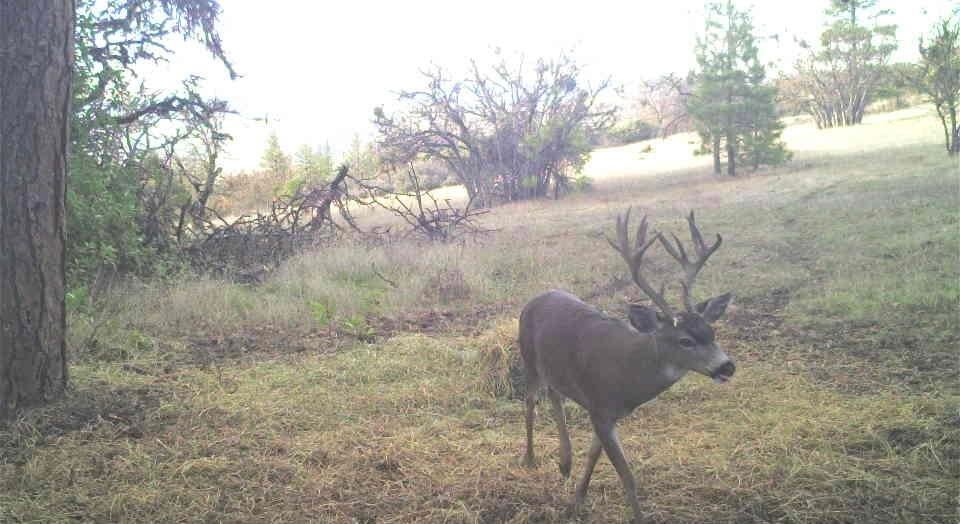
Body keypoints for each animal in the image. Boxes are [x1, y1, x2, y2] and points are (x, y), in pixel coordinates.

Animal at [518, 208, 735, 523]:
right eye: (685, 341)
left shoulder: (608, 413)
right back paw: (530, 458)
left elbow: (594, 455)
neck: (628, 377)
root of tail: (534, 299)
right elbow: (628, 477)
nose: (727, 366)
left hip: (553, 367)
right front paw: (637, 516)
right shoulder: (599, 408)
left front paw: (577, 500)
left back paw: (564, 462)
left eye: (712, 332)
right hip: (527, 356)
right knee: (530, 401)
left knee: (554, 394)